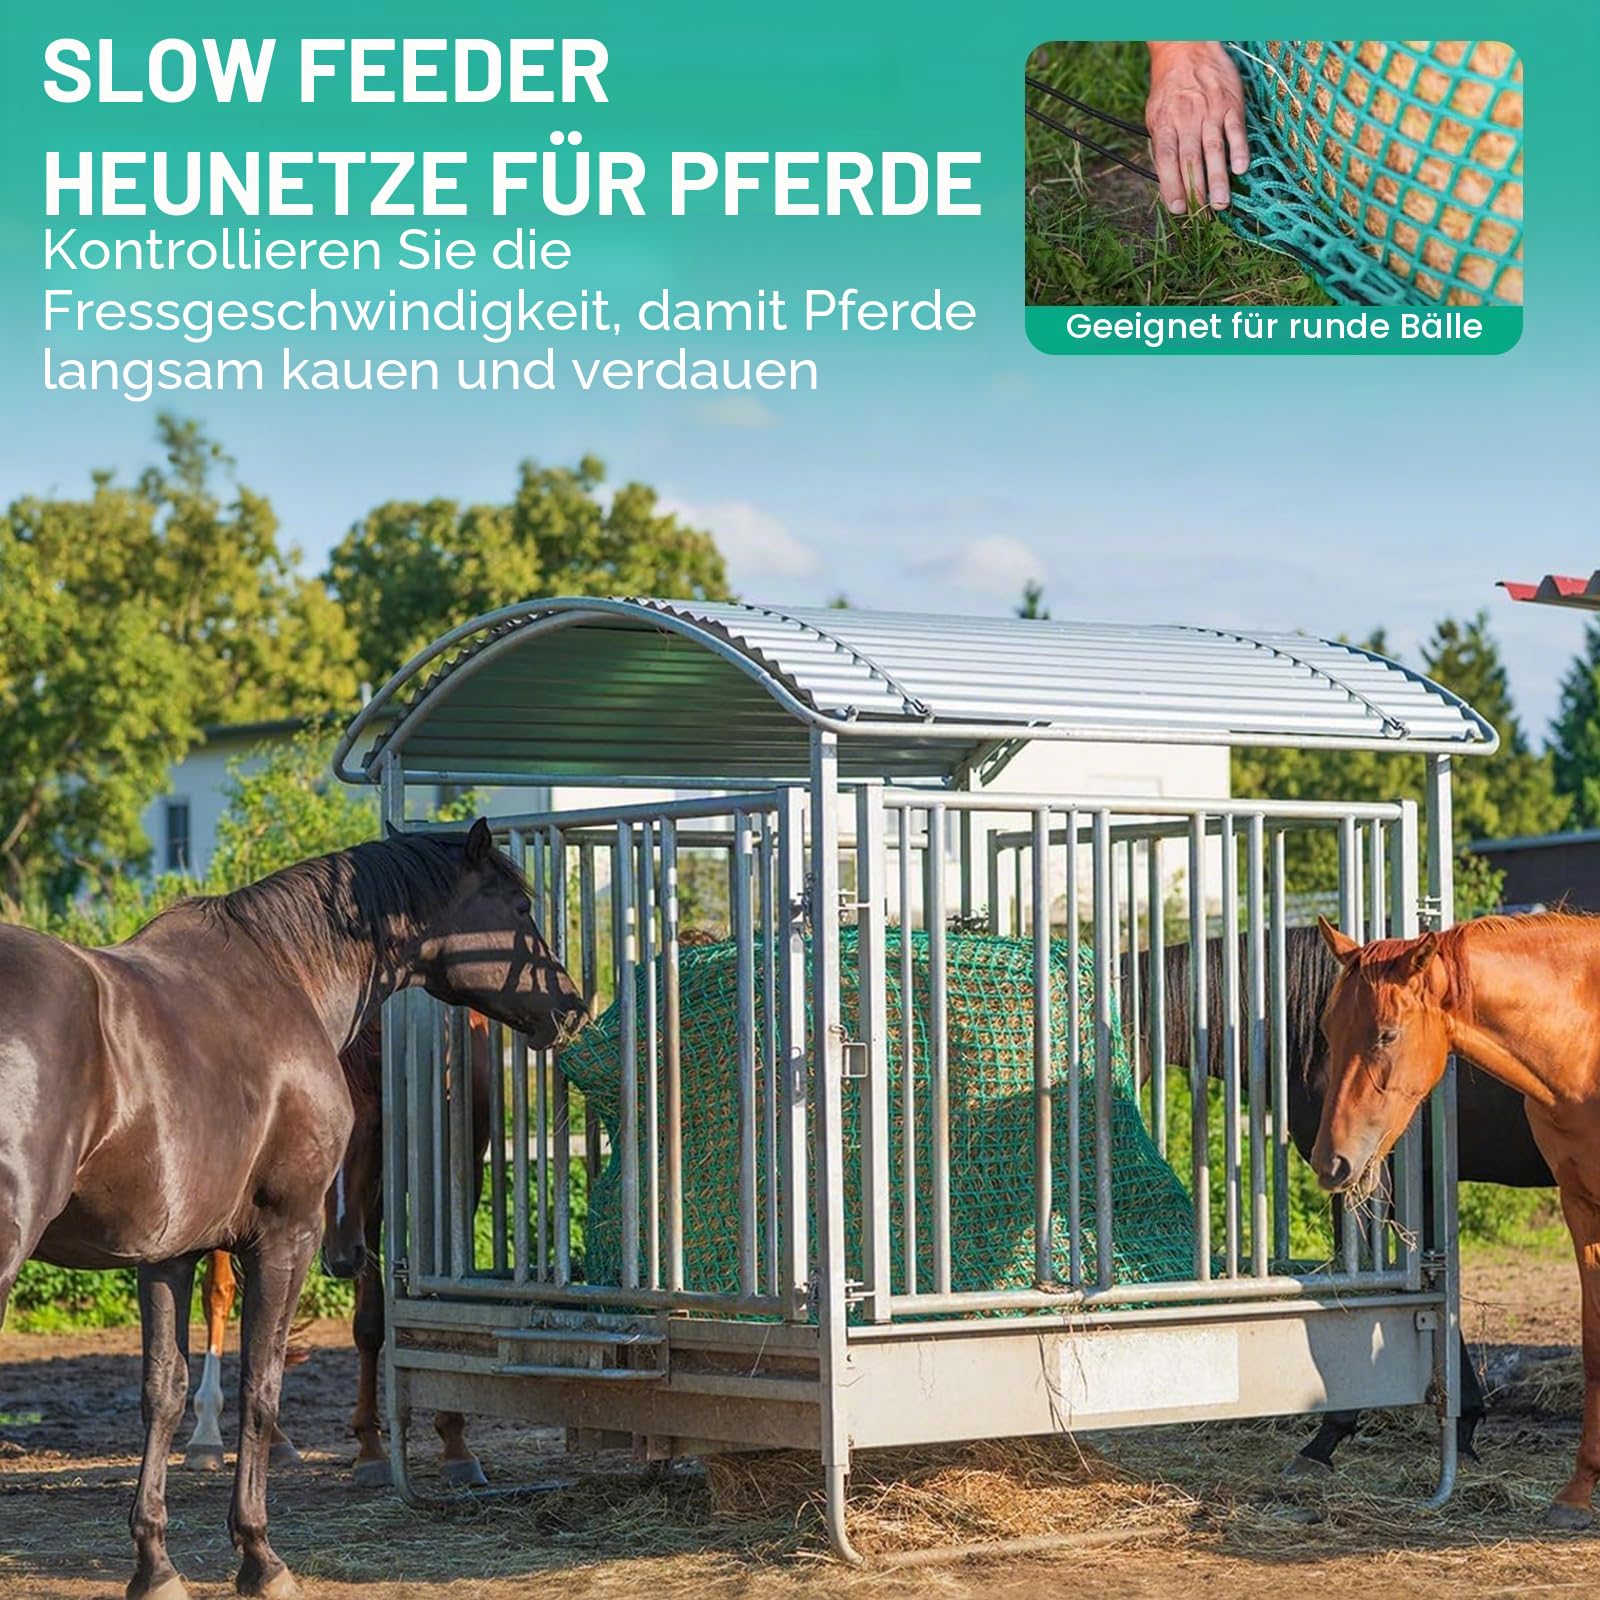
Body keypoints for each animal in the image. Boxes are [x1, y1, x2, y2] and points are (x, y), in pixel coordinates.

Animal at [0, 819, 586, 1600]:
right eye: (519, 908)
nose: (570, 1007)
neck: (283, 977)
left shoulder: (168, 1253)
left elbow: (163, 1390)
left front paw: (155, 1564)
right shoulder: (287, 1236)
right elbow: (262, 1383)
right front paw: (260, 1556)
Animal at [1309, 912, 1600, 1527]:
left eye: (1386, 1034)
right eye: (1326, 1029)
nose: (1331, 1162)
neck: (1588, 1041)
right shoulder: (1580, 1208)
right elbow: (1594, 1345)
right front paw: (1576, 1493)